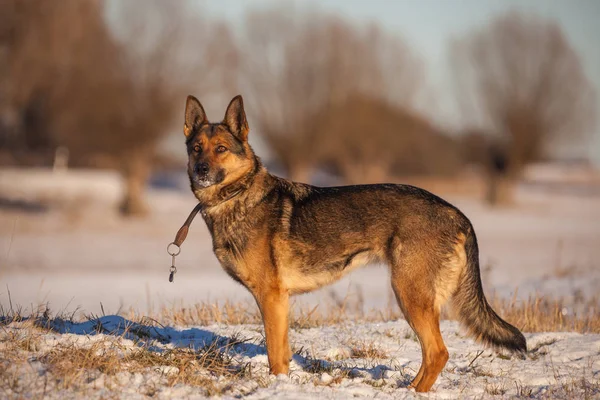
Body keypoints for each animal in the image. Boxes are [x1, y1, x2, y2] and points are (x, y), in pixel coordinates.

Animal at [183, 95, 524, 392]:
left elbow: (275, 355)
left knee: (438, 353)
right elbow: (282, 352)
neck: (237, 196)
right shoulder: (279, 302)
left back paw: (414, 393)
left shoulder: (272, 298)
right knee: (431, 355)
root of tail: (457, 214)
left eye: (221, 149)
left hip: (409, 294)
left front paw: (277, 385)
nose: (200, 170)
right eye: (196, 149)